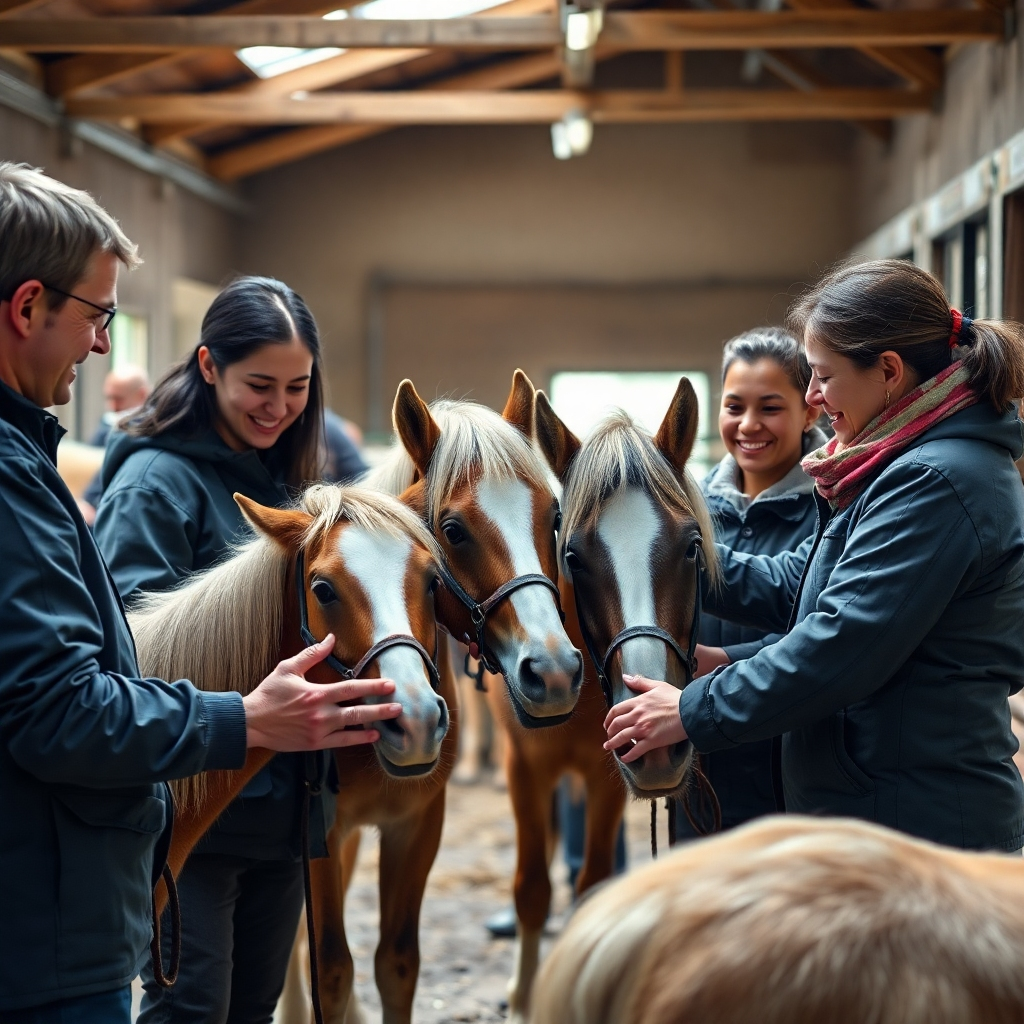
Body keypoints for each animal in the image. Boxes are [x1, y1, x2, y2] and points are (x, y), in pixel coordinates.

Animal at [292, 370, 584, 1024]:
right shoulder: (319, 837)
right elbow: (326, 963)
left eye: (554, 515)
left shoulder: (418, 820)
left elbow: (393, 964)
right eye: (453, 530)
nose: (553, 670)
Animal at [491, 378, 714, 1022]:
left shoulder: (605, 772)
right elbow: (531, 889)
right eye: (573, 557)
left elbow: (591, 888)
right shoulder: (523, 768)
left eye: (692, 547)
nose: (654, 743)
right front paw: (524, 997)